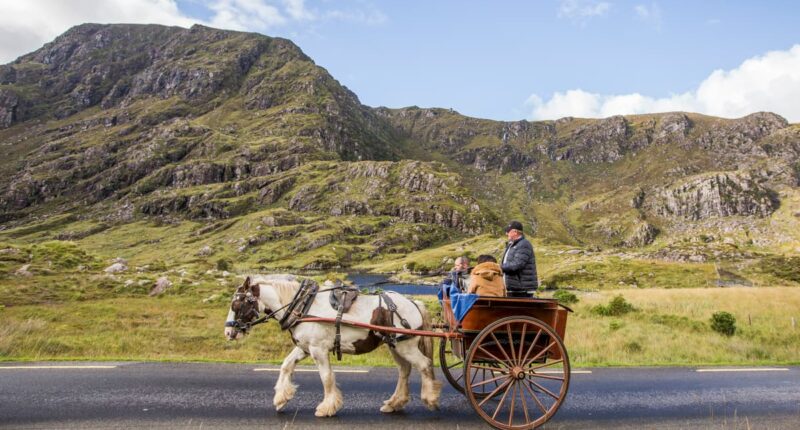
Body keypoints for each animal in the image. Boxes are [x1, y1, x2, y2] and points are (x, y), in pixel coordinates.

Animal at [223, 274, 444, 418]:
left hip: (406, 346)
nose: (228, 332)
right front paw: (281, 398)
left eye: (237, 304)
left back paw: (430, 398)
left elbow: (326, 377)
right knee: (404, 370)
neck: (303, 307)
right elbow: (286, 366)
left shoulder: (318, 350)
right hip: (394, 345)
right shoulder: (305, 348)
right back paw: (394, 403)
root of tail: (413, 303)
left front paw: (327, 407)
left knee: (424, 365)